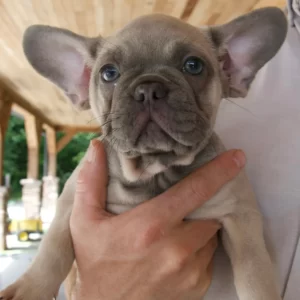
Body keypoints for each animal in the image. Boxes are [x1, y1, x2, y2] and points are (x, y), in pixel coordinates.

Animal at [0, 6, 288, 300]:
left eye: (193, 66)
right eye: (109, 73)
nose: (149, 88)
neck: (155, 170)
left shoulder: (240, 218)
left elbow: (255, 274)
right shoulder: (69, 204)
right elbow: (52, 250)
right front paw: (29, 289)